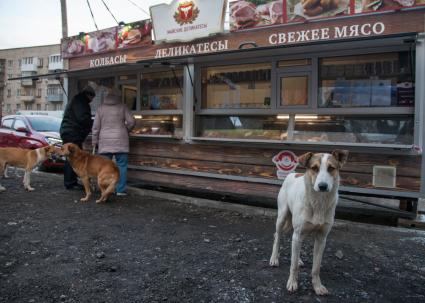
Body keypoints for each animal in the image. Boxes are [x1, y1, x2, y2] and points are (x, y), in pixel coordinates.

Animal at [268, 150, 348, 296]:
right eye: (314, 168)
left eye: (331, 168)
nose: (322, 186)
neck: (318, 202)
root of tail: (293, 173)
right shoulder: (298, 233)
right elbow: (293, 266)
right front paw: (292, 283)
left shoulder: (321, 239)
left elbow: (316, 268)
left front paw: (317, 286)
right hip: (282, 217)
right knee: (277, 236)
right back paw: (274, 258)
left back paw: (298, 259)